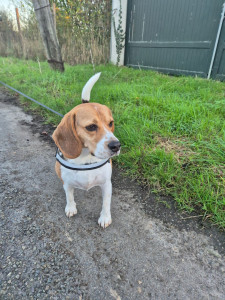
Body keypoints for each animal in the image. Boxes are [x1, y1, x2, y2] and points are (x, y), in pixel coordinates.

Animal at [52, 74, 120, 229]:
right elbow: (69, 196)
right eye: (91, 127)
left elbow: (106, 203)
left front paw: (105, 217)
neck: (85, 158)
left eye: (111, 123)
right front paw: (71, 208)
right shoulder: (67, 182)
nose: (117, 145)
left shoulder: (107, 184)